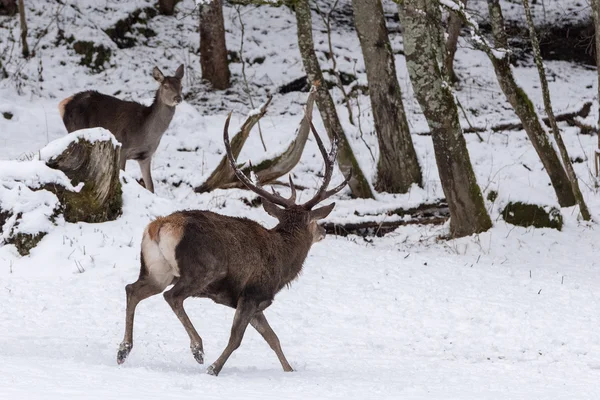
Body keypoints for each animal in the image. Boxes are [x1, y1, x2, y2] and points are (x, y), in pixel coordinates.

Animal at [60, 64, 185, 192]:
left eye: (181, 86)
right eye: (166, 86)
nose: (178, 98)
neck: (145, 132)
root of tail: (64, 104)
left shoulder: (145, 156)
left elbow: (150, 185)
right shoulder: (123, 148)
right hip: (76, 128)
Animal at [116, 111, 350, 376]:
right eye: (314, 221)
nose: (323, 230)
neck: (283, 264)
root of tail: (160, 226)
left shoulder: (256, 303)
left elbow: (273, 338)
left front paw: (289, 370)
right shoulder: (252, 293)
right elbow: (237, 338)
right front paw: (214, 368)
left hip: (157, 270)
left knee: (132, 289)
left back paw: (123, 350)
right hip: (202, 270)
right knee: (172, 297)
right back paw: (198, 348)